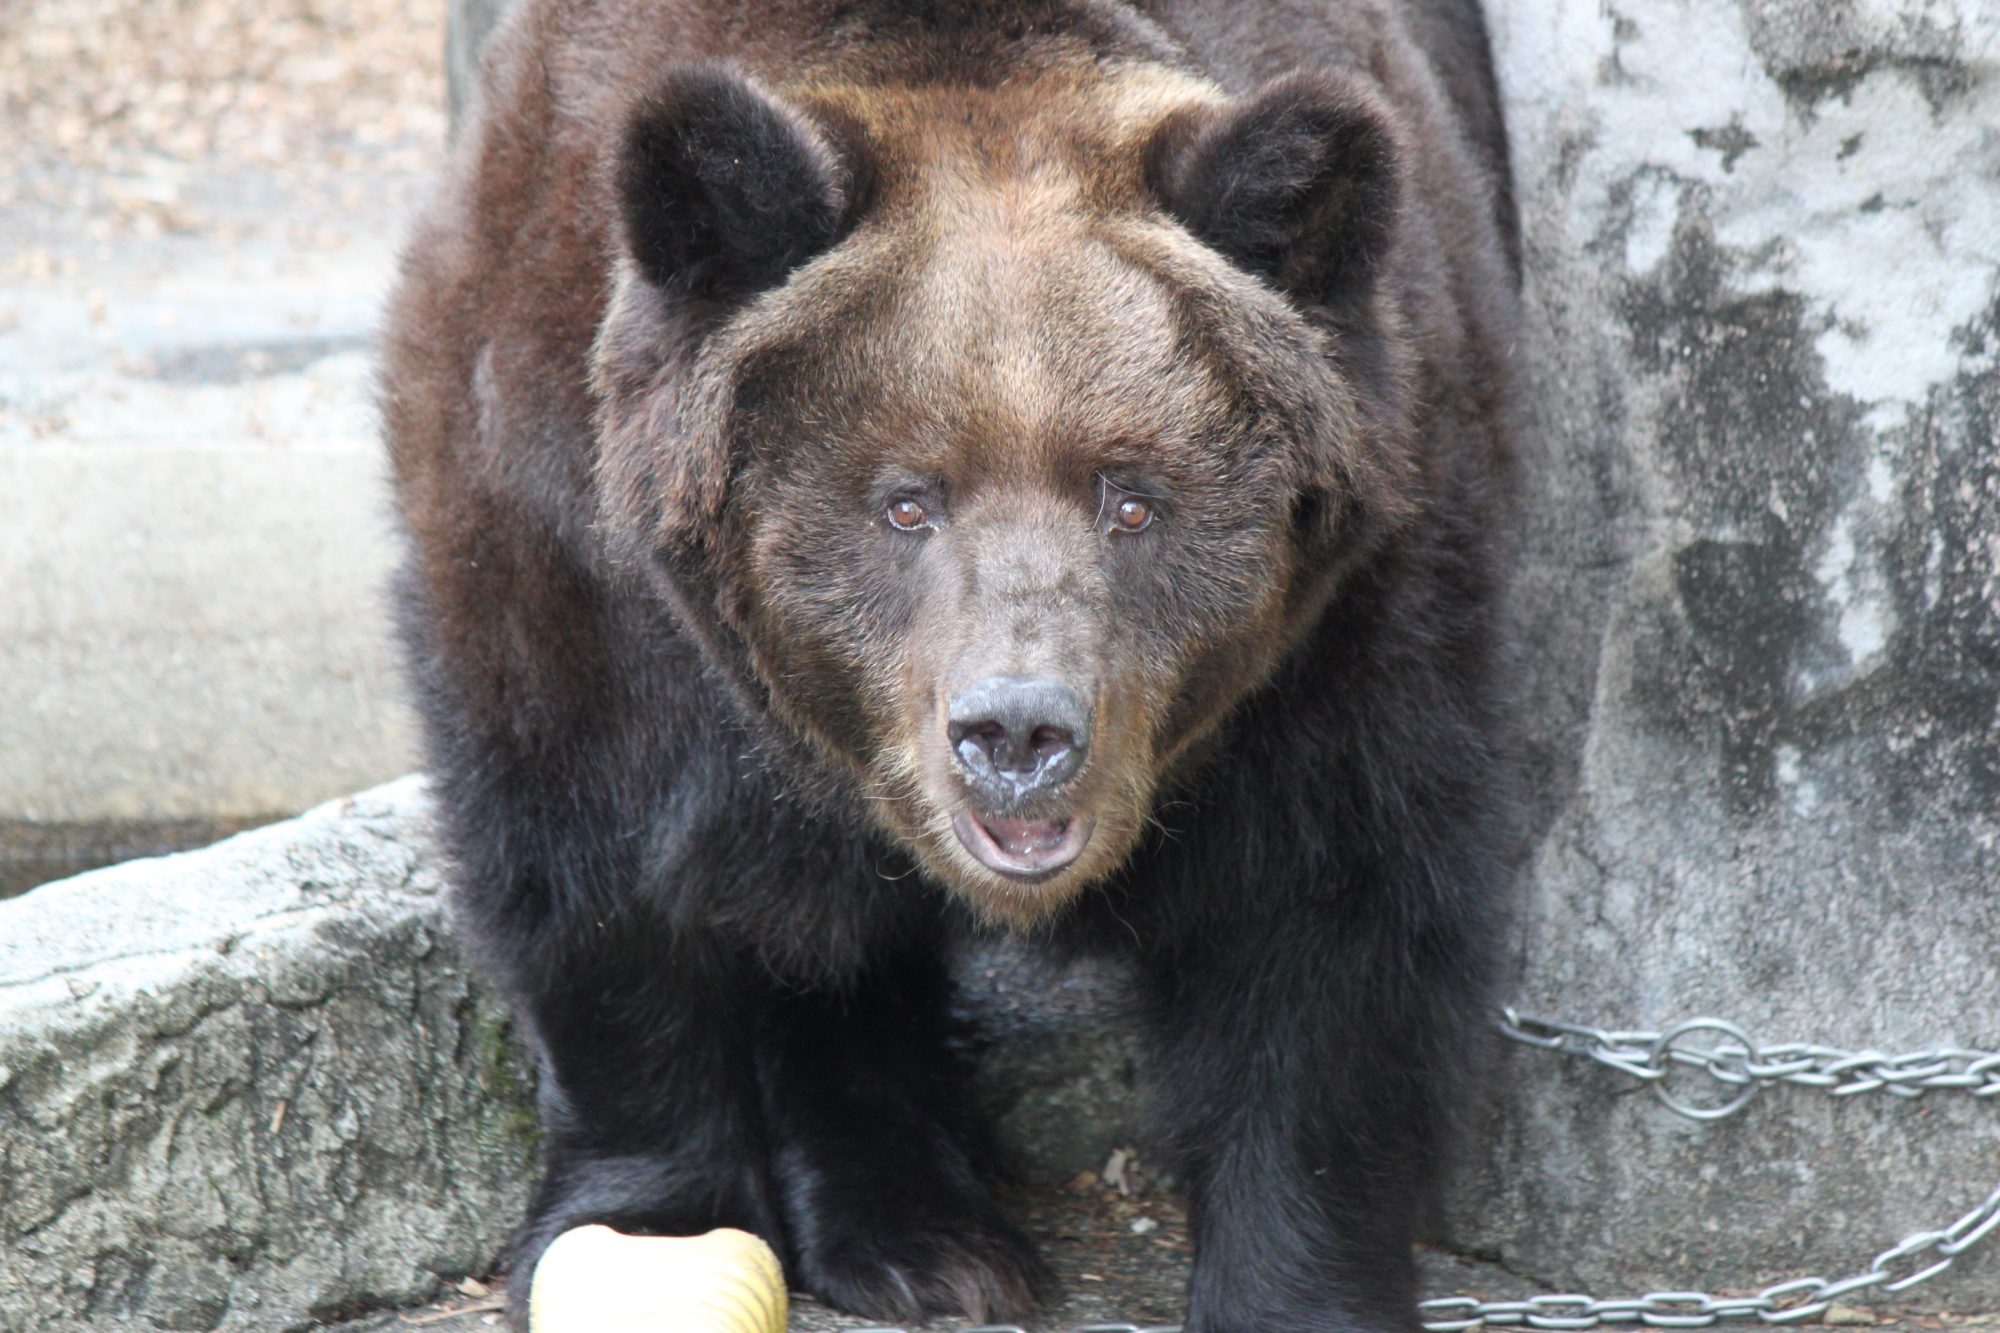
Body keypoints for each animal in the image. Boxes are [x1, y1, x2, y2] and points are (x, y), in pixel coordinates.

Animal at [382, 0, 1520, 1320]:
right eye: (904, 501)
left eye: (1131, 497)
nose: (1017, 733)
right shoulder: (568, 544)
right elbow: (599, 880)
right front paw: (651, 1229)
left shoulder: (1351, 615)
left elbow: (1328, 922)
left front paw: (1296, 1285)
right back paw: (925, 1235)